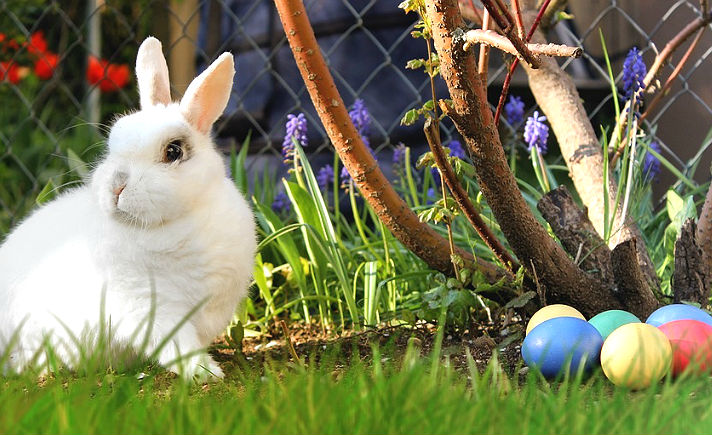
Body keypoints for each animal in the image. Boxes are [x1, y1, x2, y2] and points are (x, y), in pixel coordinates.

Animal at [0, 37, 256, 380]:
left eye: (173, 151)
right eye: (112, 143)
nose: (116, 186)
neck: (175, 223)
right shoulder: (151, 308)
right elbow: (179, 345)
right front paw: (206, 373)